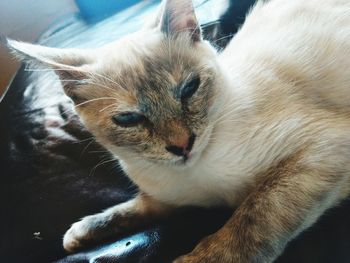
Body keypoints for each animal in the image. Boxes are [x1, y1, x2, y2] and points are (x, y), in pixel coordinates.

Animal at [4, 0, 350, 262]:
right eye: (128, 119)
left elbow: (255, 213)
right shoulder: (170, 198)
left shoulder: (320, 148)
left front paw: (204, 258)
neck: (196, 178)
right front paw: (81, 233)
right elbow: (133, 208)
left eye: (189, 89)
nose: (183, 145)